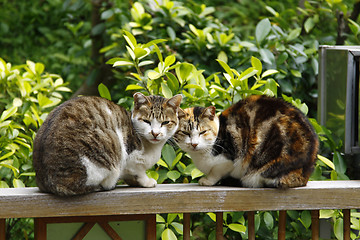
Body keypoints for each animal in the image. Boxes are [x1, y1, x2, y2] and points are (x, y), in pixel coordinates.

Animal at [33, 92, 183, 195]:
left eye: (165, 122)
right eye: (146, 121)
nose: (155, 133)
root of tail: (50, 182)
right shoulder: (130, 158)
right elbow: (139, 171)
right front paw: (147, 181)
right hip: (107, 147)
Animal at [174, 94, 318, 188]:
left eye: (203, 132)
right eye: (185, 133)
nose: (194, 144)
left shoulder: (229, 159)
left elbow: (216, 171)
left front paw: (207, 181)